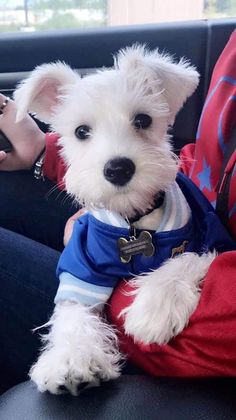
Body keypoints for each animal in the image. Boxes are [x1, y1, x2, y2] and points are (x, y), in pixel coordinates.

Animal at [13, 46, 215, 398]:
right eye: (81, 131)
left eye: (143, 120)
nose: (118, 168)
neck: (135, 221)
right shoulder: (82, 266)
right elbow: (73, 310)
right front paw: (72, 359)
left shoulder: (207, 235)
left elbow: (186, 257)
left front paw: (155, 309)